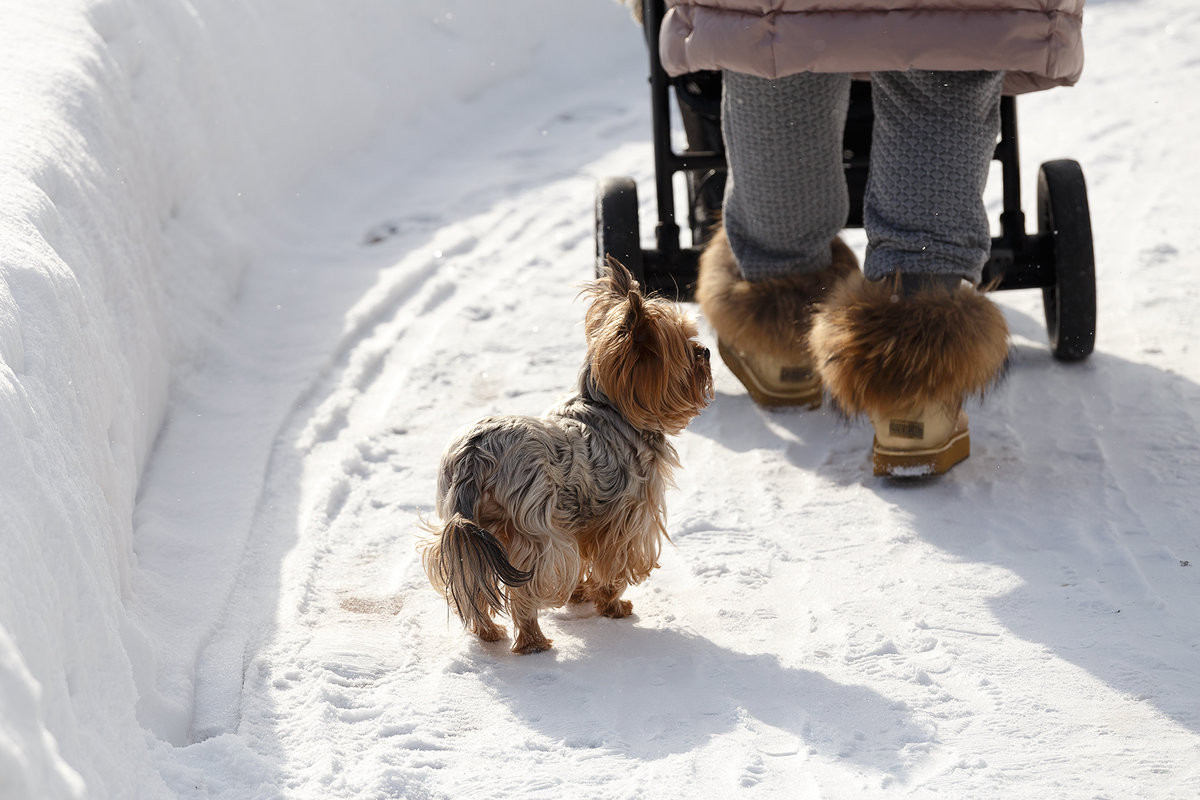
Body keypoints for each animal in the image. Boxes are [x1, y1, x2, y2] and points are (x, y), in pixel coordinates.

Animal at [420, 260, 705, 652]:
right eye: (687, 347)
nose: (707, 353)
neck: (608, 404)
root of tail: (475, 455)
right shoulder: (627, 516)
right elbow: (613, 566)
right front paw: (612, 605)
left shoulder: (582, 520)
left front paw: (582, 594)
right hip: (535, 530)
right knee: (525, 589)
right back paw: (533, 642)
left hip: (467, 524)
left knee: (469, 578)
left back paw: (488, 632)